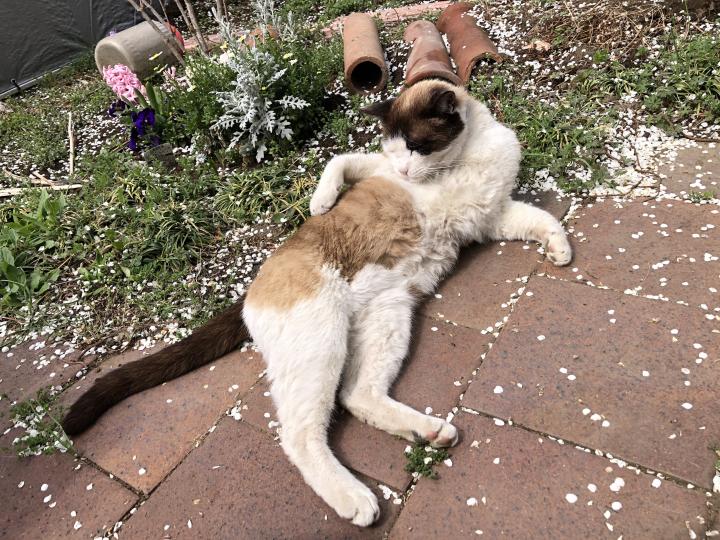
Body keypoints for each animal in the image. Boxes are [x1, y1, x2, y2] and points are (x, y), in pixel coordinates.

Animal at [61, 79, 572, 527]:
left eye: (416, 146)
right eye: (395, 151)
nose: (404, 171)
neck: (463, 159)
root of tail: (250, 291)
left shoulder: (491, 217)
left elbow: (542, 219)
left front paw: (561, 250)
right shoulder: (377, 170)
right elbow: (339, 161)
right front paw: (320, 203)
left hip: (387, 317)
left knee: (357, 395)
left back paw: (427, 431)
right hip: (321, 343)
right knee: (300, 435)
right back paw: (355, 498)